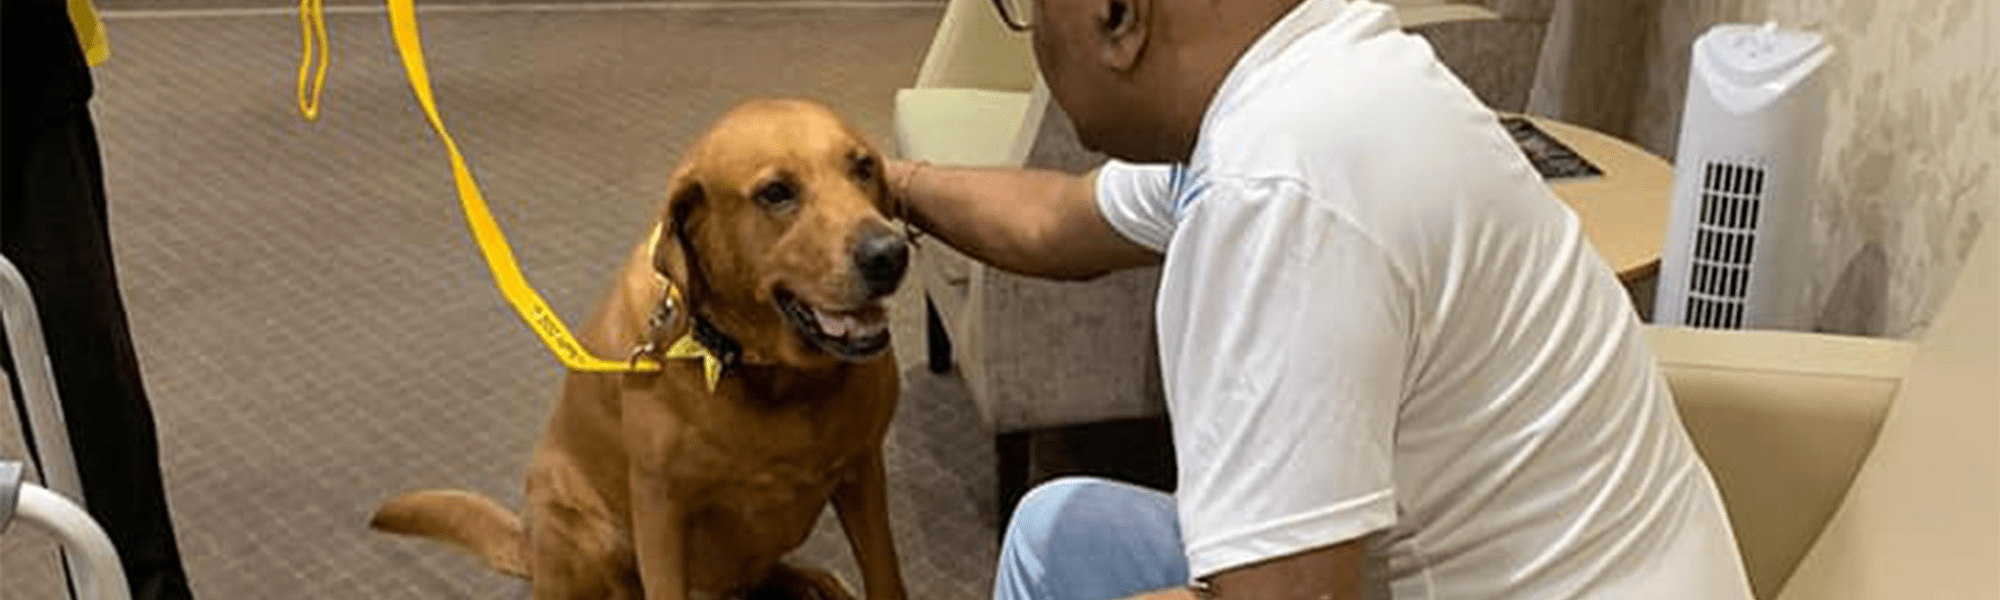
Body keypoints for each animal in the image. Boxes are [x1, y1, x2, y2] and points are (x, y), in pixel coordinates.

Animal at [372, 98, 912, 600]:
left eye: (863, 168)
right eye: (776, 193)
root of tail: (528, 544)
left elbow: (885, 573)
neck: (768, 371)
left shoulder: (864, 471)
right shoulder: (661, 507)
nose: (890, 254)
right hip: (581, 526)